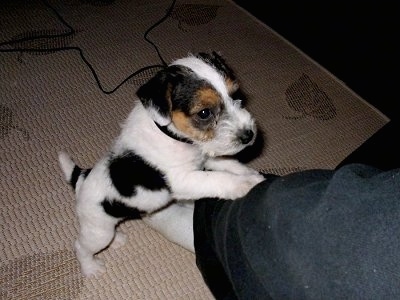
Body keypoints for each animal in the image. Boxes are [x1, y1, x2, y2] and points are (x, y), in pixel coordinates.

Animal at [57, 51, 266, 276]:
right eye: (204, 113)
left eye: (236, 95)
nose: (249, 135)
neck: (172, 134)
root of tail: (81, 177)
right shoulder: (182, 179)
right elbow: (217, 178)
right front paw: (246, 184)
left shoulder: (207, 157)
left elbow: (230, 165)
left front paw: (253, 175)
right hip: (98, 229)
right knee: (81, 246)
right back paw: (91, 268)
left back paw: (117, 239)